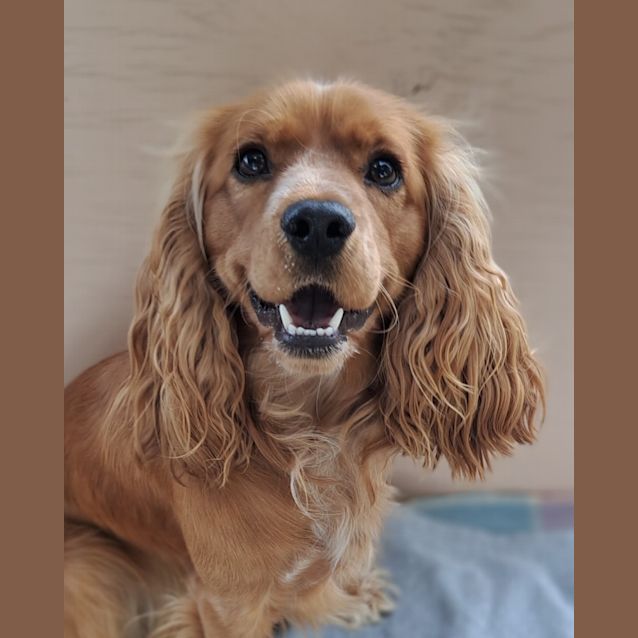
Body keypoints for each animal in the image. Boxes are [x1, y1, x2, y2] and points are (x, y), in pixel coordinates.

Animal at [63, 80, 544, 638]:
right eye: (251, 160)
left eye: (385, 168)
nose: (317, 221)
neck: (313, 428)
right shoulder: (226, 603)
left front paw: (348, 597)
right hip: (91, 566)